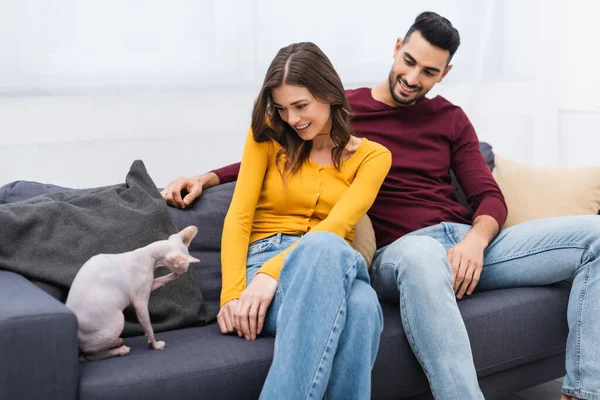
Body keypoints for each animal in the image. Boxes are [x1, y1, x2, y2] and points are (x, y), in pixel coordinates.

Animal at [66, 225, 199, 362]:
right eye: (184, 266)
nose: (184, 271)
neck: (148, 253)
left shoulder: (148, 285)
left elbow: (160, 280)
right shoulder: (140, 302)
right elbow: (148, 327)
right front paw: (155, 345)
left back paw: (115, 342)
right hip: (118, 321)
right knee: (88, 355)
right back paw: (119, 350)